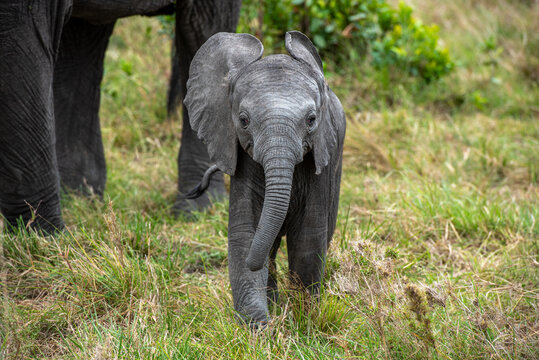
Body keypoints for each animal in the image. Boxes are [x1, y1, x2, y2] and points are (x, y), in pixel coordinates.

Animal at [1, 0, 238, 233]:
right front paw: (45, 236)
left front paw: (45, 236)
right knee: (82, 38)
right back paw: (80, 201)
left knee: (202, 28)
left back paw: (196, 210)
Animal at [186, 30, 346, 324]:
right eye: (243, 120)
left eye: (311, 120)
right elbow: (246, 232)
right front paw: (261, 325)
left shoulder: (322, 155)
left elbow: (308, 238)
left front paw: (302, 319)